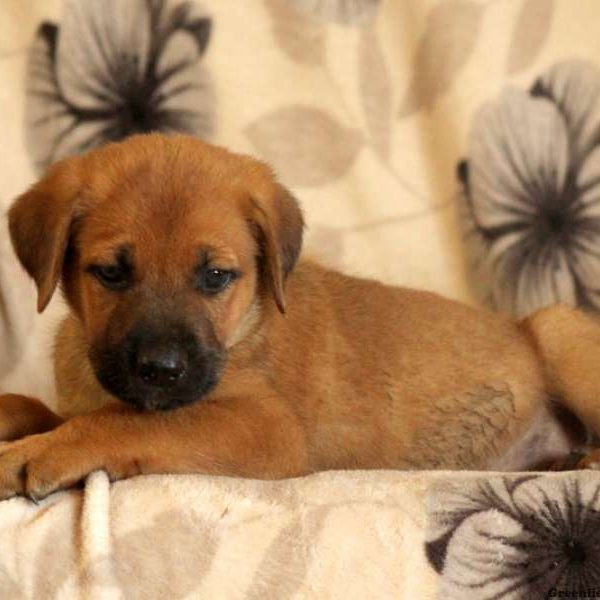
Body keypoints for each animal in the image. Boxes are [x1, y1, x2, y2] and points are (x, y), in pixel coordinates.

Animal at [1, 132, 600, 502]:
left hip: (557, 328)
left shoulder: (266, 426)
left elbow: (125, 421)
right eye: (110, 273)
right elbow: (42, 406)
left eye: (215, 276)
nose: (160, 370)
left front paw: (39, 452)